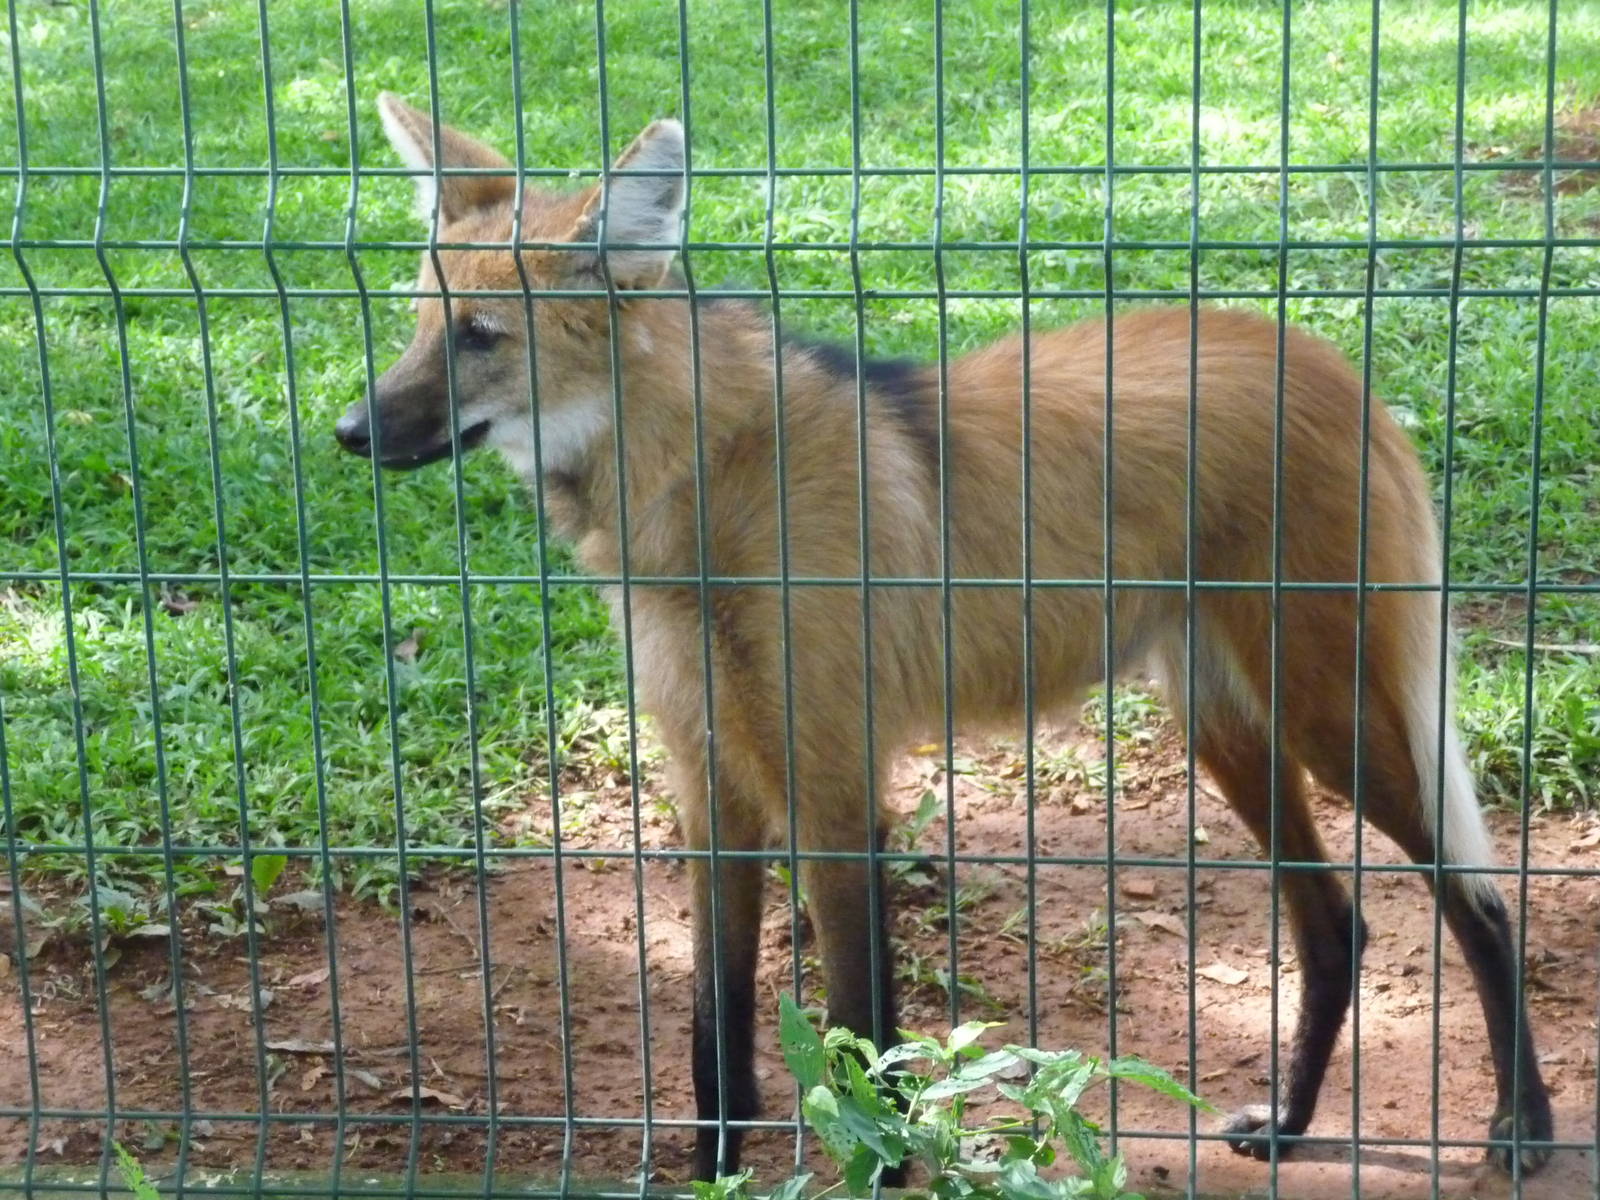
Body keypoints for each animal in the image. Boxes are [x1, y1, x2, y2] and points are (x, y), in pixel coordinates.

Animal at [334, 93, 1553, 1181]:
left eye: (481, 337)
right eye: (417, 323)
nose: (349, 430)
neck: (702, 492)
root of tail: (1333, 362)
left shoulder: (833, 794)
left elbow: (862, 1045)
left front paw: (874, 1169)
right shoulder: (713, 785)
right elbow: (715, 1033)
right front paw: (714, 1168)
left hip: (1329, 714)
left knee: (1482, 900)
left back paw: (1520, 1130)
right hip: (1228, 723)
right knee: (1333, 924)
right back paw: (1292, 1125)